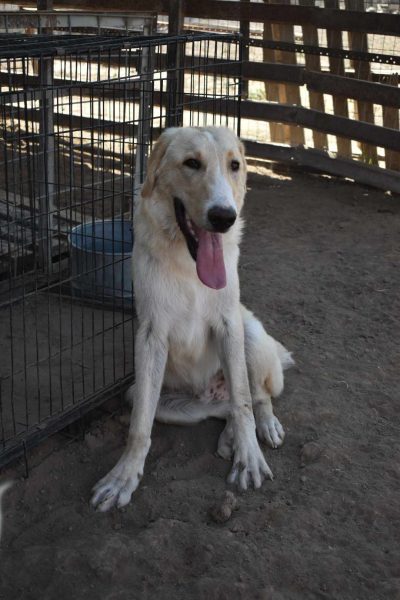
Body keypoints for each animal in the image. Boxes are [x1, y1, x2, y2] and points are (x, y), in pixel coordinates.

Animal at [91, 126, 293, 511]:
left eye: (234, 165)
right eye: (191, 163)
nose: (224, 217)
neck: (189, 265)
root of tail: (209, 393)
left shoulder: (229, 325)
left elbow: (245, 402)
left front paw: (250, 458)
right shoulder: (151, 336)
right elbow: (139, 427)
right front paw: (124, 477)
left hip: (250, 336)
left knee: (255, 396)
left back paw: (262, 427)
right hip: (157, 397)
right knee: (224, 409)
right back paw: (229, 437)